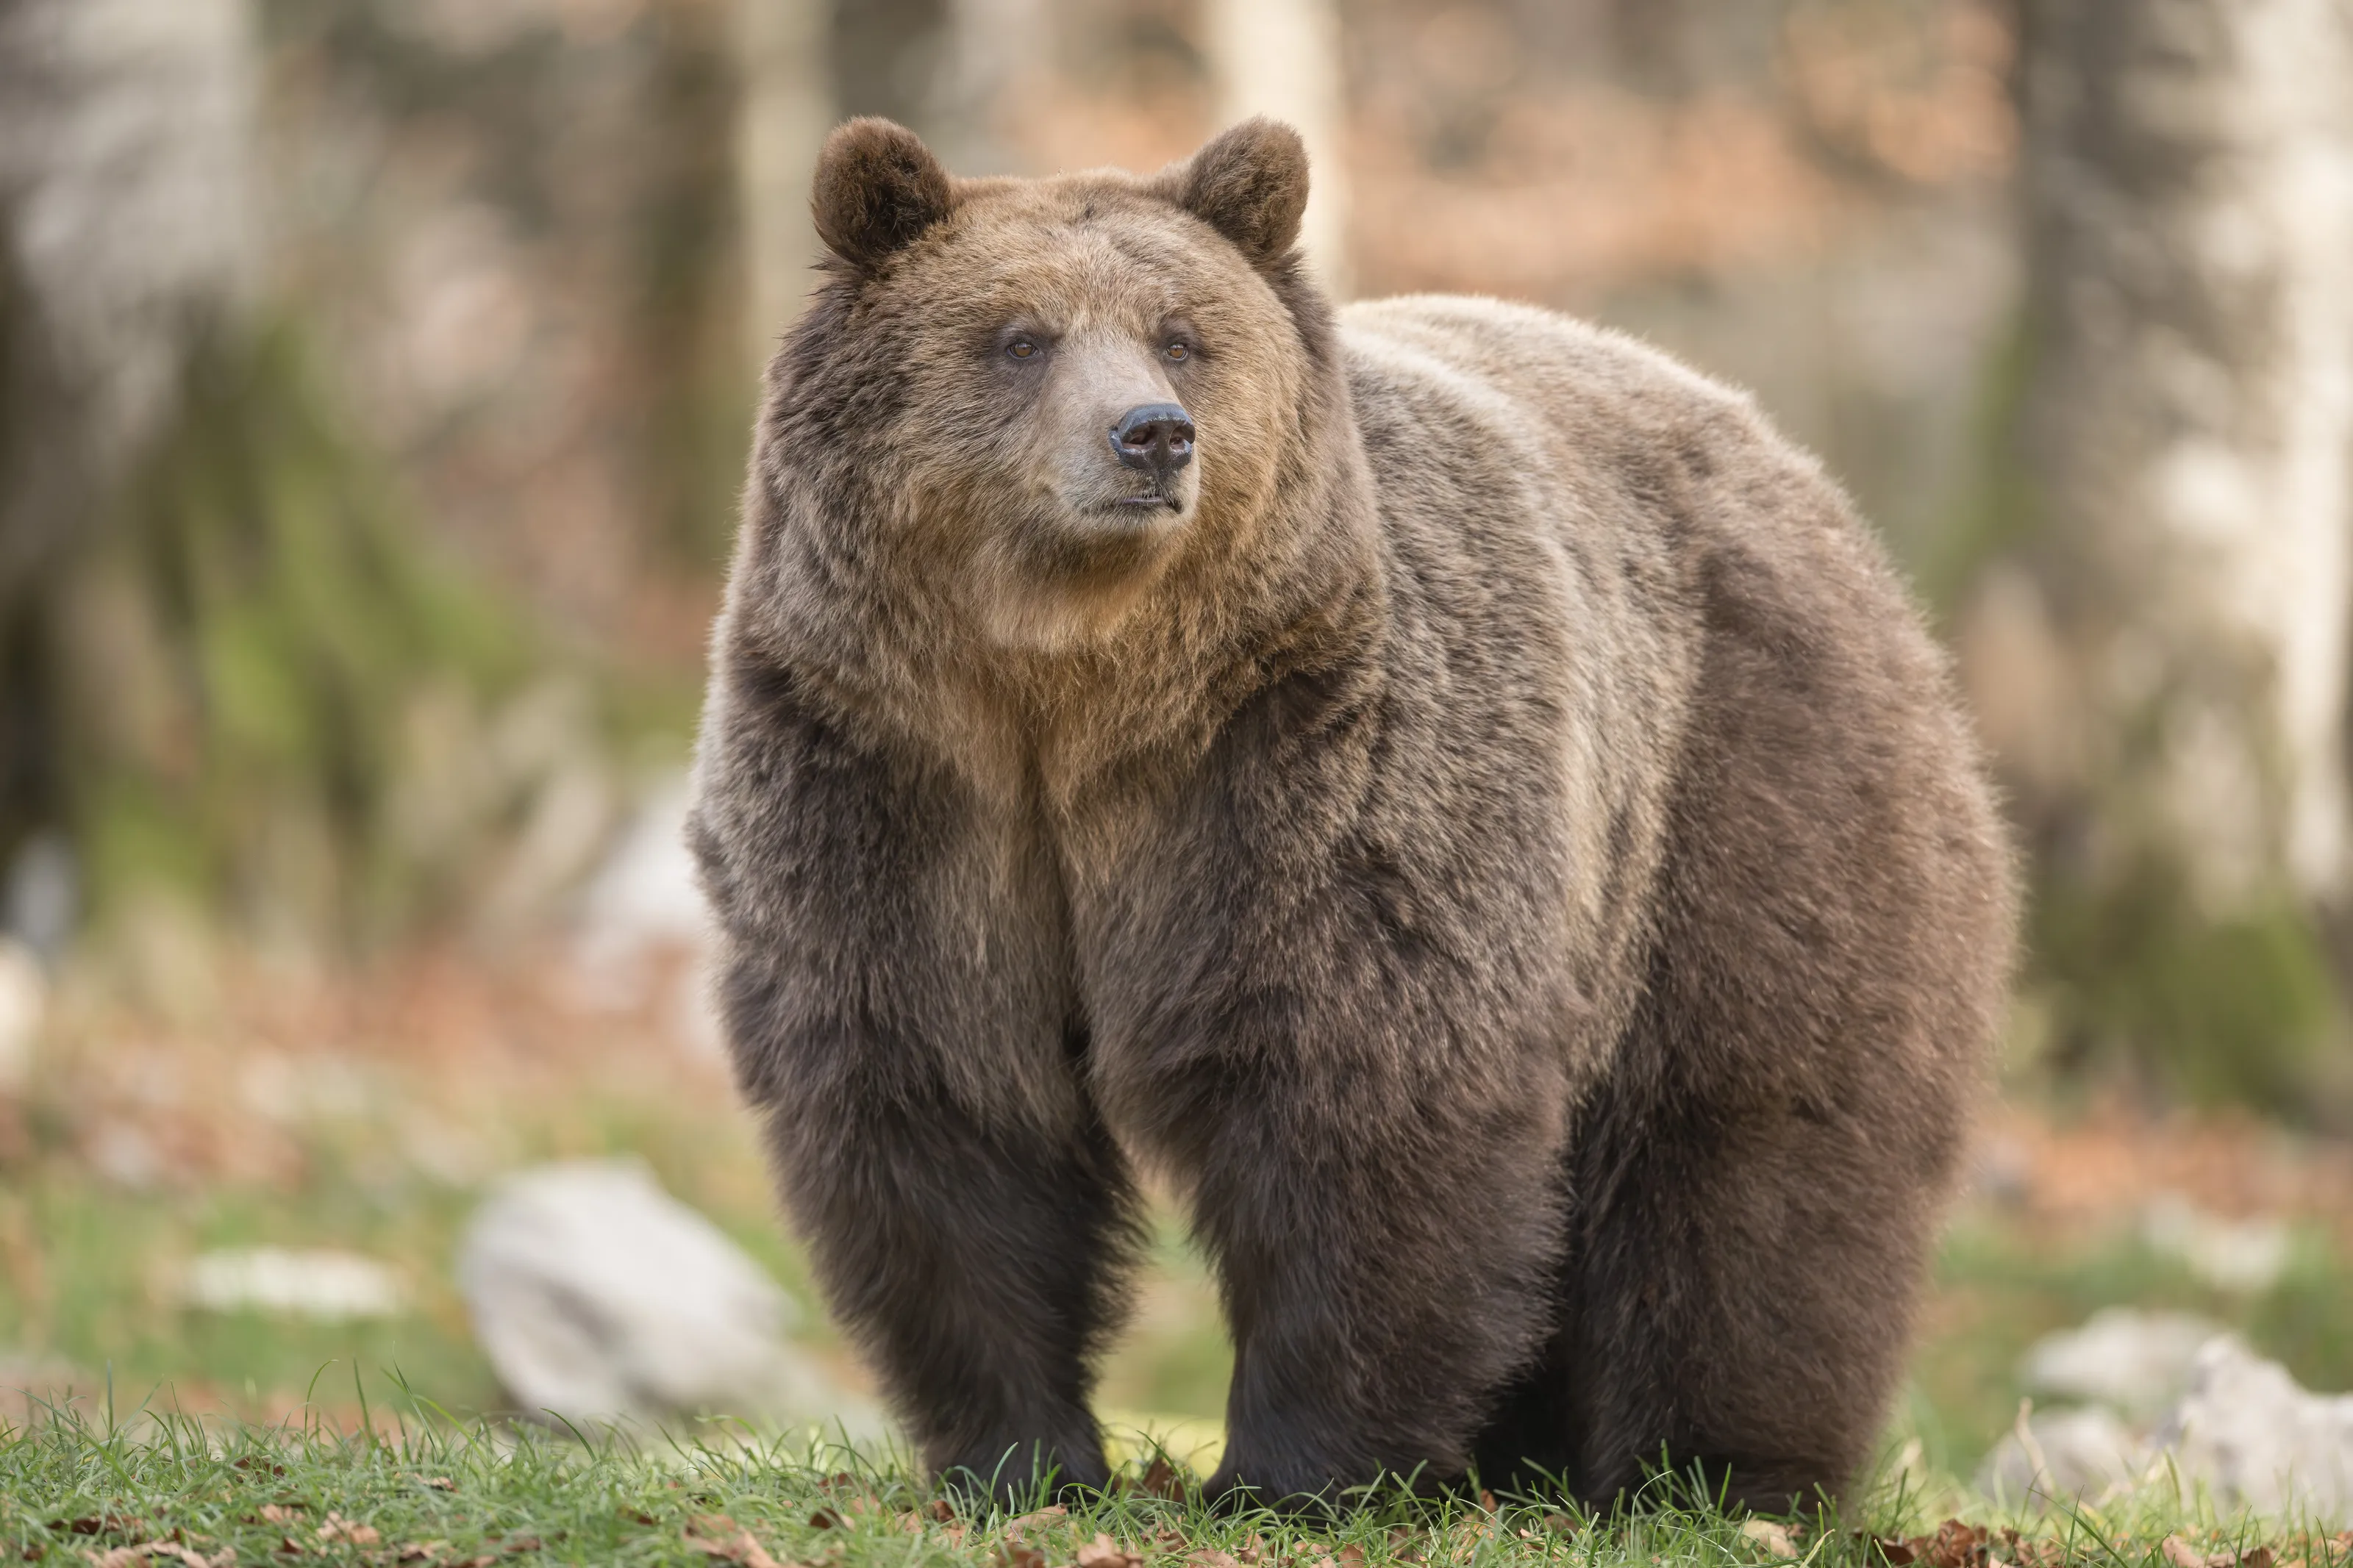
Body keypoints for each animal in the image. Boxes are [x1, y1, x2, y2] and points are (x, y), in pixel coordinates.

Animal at [688, 115, 2017, 1513]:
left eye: (1181, 333)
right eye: (1020, 335)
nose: (1150, 435)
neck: (1074, 695)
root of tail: (1805, 479)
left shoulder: (1316, 770)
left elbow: (1360, 1088)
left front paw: (1295, 1469)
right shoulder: (891, 783)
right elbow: (943, 1106)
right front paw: (1020, 1455)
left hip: (1739, 794)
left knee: (1753, 1145)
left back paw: (1714, 1471)